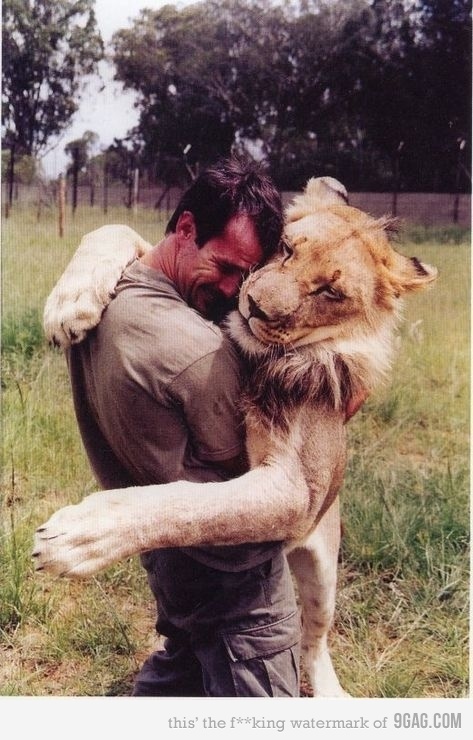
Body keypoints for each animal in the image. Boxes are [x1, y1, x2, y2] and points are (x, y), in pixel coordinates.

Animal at [34, 177, 437, 697]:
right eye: (286, 248)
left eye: (330, 290)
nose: (255, 307)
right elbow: (114, 228)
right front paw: (69, 307)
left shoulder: (296, 491)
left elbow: (192, 506)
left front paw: (79, 537)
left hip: (323, 561)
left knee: (314, 636)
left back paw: (329, 690)